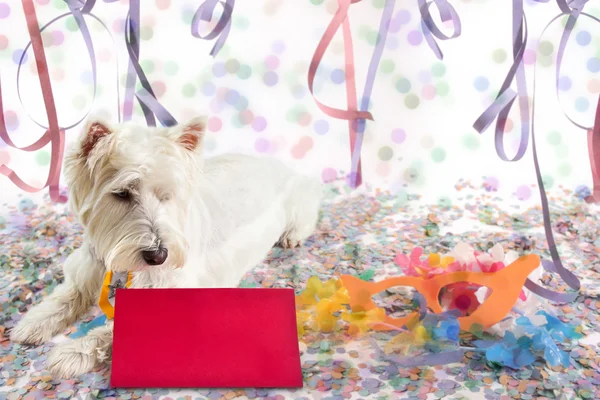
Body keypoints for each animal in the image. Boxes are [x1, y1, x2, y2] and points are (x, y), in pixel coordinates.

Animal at [9, 115, 324, 378]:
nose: (158, 255)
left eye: (167, 195)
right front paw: (32, 323)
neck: (124, 264)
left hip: (298, 201)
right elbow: (66, 295)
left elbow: (114, 328)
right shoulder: (90, 266)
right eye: (122, 194)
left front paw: (73, 351)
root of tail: (279, 163)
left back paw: (292, 235)